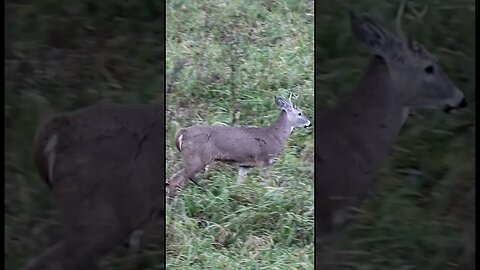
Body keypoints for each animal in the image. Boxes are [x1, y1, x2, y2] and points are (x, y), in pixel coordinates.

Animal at [167, 95, 314, 200]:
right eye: (300, 113)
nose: (309, 123)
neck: (274, 136)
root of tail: (182, 133)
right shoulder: (266, 160)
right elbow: (266, 184)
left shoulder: (245, 165)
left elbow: (238, 184)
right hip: (197, 158)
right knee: (175, 180)